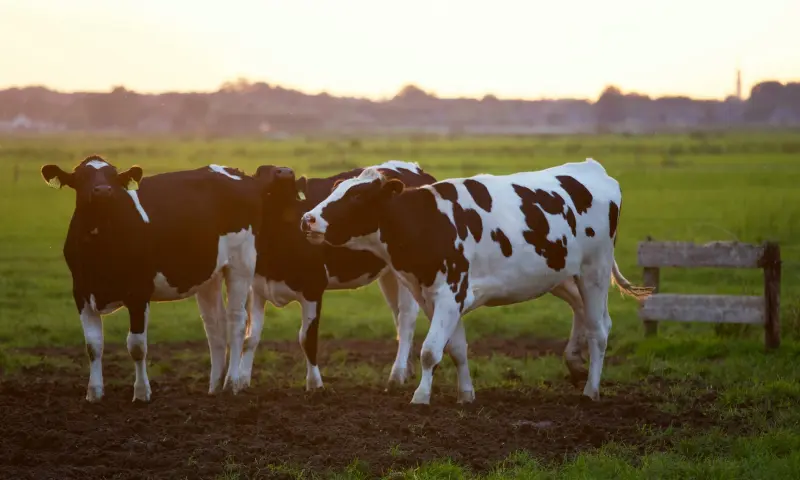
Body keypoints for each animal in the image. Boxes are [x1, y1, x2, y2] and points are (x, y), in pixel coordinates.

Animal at [40, 156, 262, 402]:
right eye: (81, 177)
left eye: (113, 177)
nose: (103, 191)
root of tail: (234, 171)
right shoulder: (81, 292)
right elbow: (93, 345)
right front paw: (94, 393)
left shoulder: (138, 293)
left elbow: (137, 346)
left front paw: (141, 393)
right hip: (209, 275)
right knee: (215, 326)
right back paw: (214, 386)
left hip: (241, 264)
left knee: (237, 321)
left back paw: (232, 383)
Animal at [238, 161, 437, 390]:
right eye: (261, 171)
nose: (286, 172)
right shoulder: (256, 288)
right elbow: (250, 337)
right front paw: (241, 382)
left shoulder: (313, 288)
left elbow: (307, 338)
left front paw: (315, 385)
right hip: (390, 274)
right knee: (397, 316)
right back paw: (406, 370)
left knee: (406, 319)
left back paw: (396, 375)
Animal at [300, 158, 653, 404]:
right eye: (335, 189)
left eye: (358, 196)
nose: (307, 219)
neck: (427, 222)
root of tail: (592, 168)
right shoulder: (437, 298)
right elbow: (455, 349)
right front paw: (465, 394)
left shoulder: (450, 294)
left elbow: (430, 351)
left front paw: (421, 397)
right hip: (562, 275)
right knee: (584, 312)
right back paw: (575, 363)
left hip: (595, 271)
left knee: (599, 330)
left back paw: (591, 389)